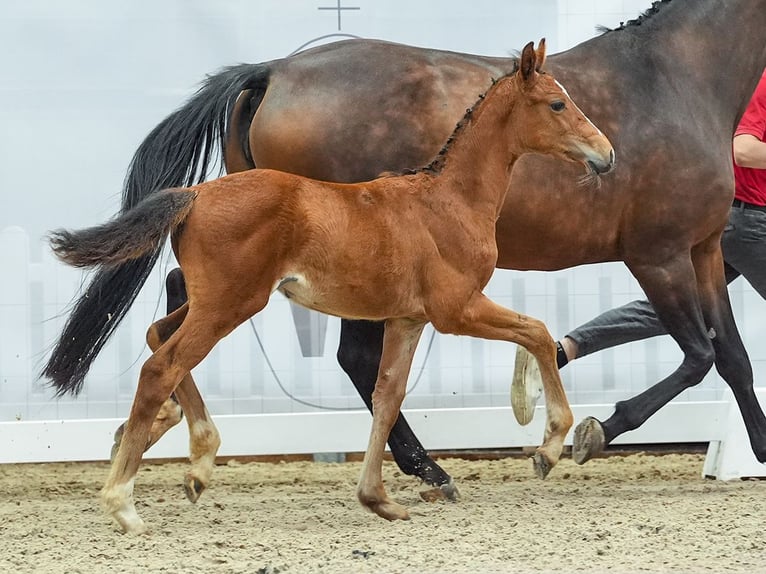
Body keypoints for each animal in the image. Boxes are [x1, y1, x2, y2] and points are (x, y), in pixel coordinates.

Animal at [49, 41, 612, 536]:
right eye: (557, 102)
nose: (606, 154)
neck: (448, 200)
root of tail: (193, 195)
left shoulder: (408, 318)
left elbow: (388, 393)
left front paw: (379, 498)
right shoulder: (457, 310)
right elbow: (536, 331)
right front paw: (548, 447)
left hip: (216, 302)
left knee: (157, 334)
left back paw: (198, 461)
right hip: (230, 304)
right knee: (160, 365)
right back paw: (126, 504)